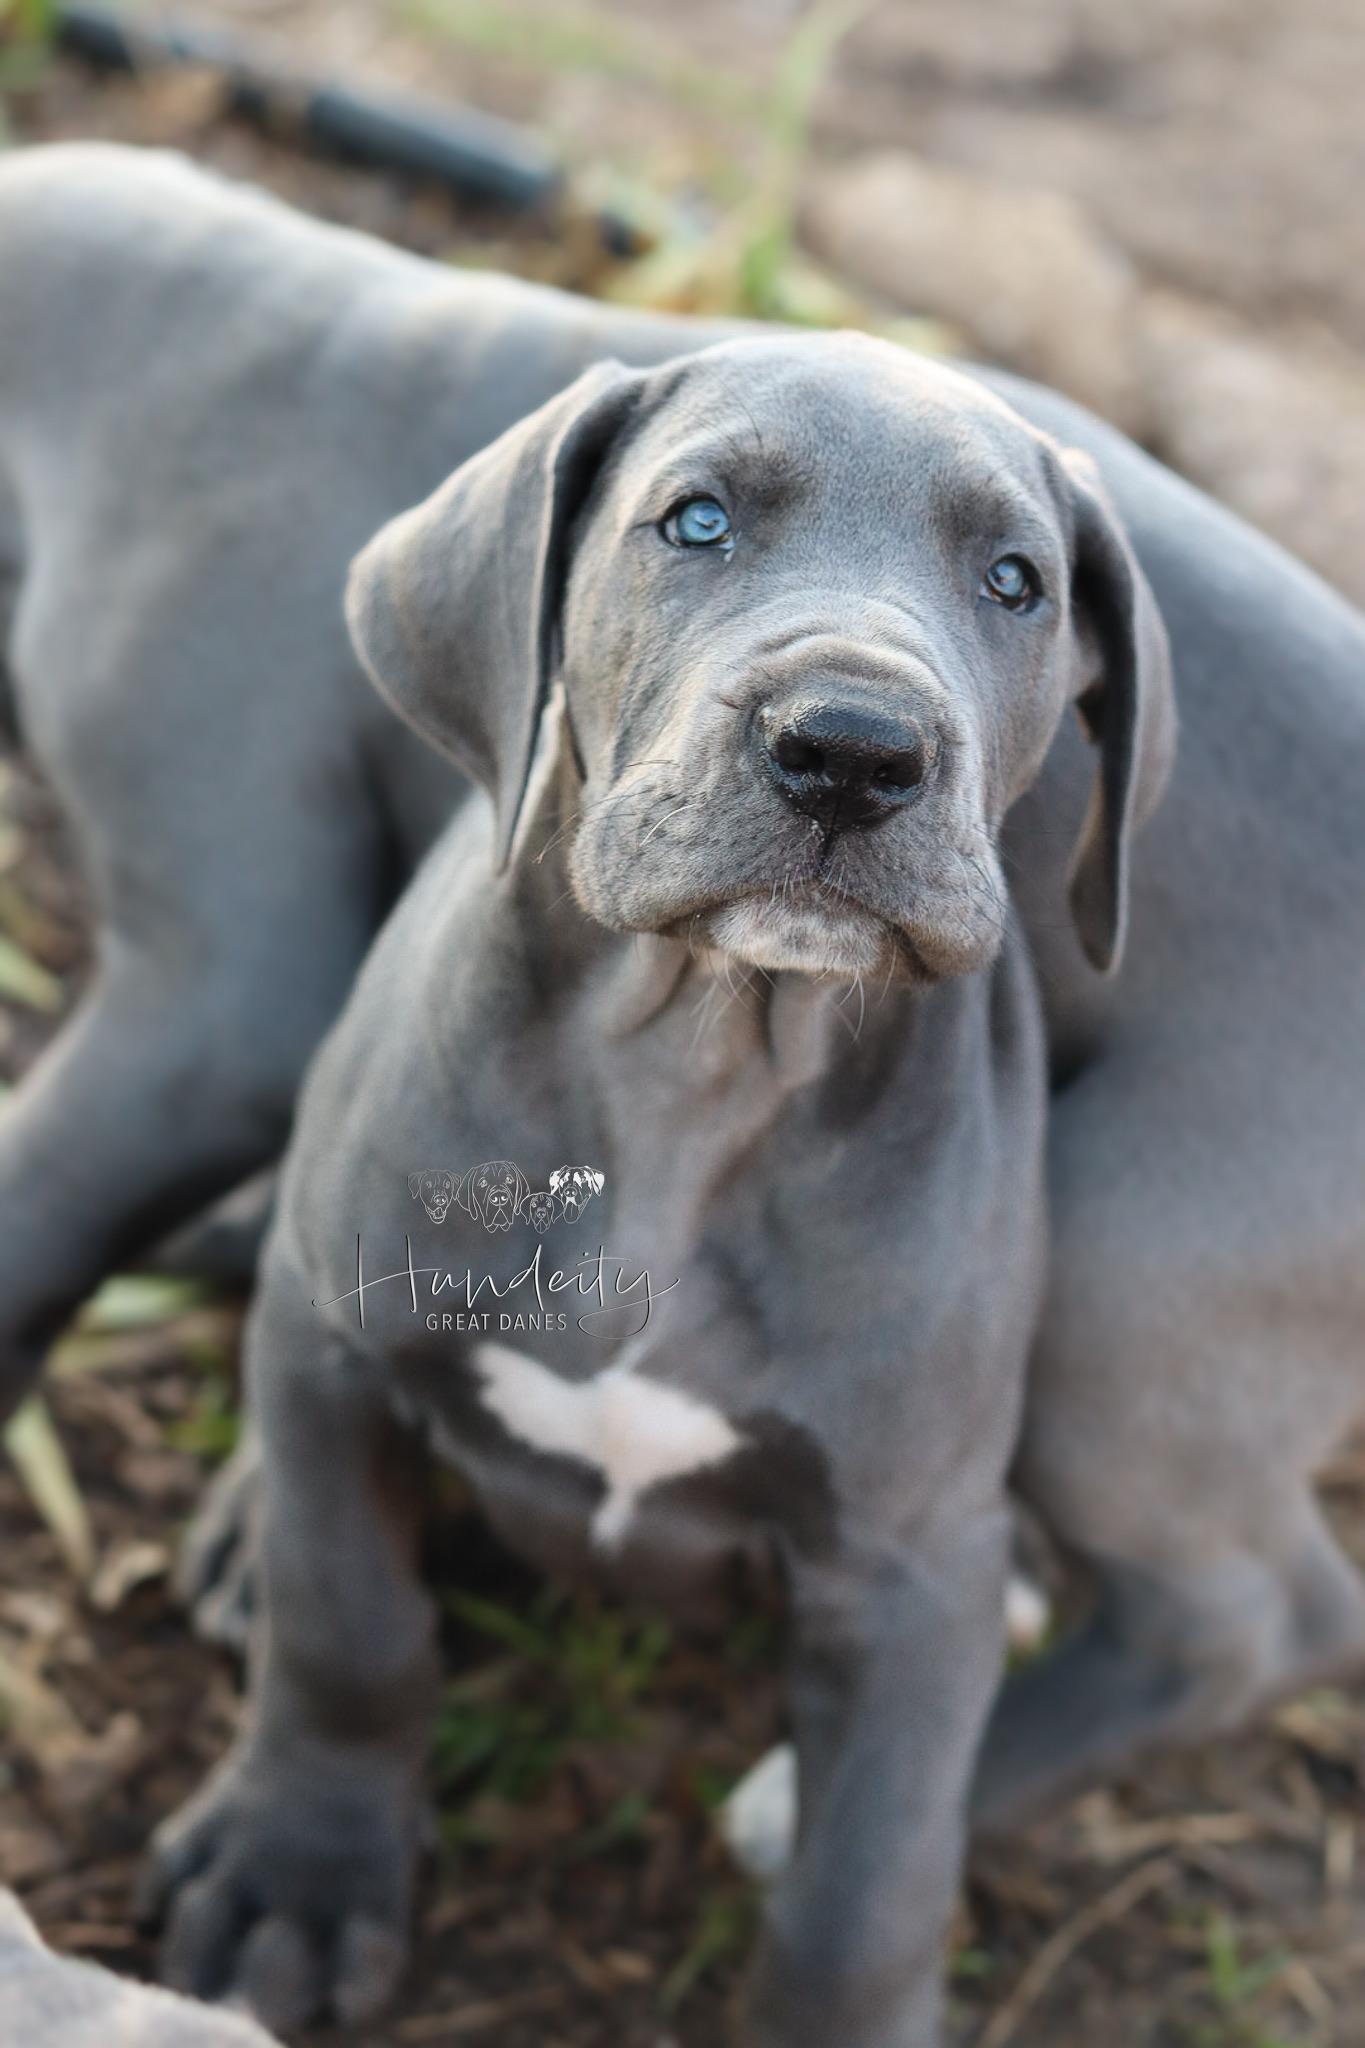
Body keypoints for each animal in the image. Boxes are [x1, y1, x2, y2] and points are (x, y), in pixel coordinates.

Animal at [140, 332, 1173, 2047]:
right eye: (695, 522)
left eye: (1016, 581)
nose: (853, 751)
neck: (698, 1066)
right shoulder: (343, 1343)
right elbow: (352, 1625)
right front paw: (294, 1875)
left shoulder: (911, 1567)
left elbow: (868, 1878)